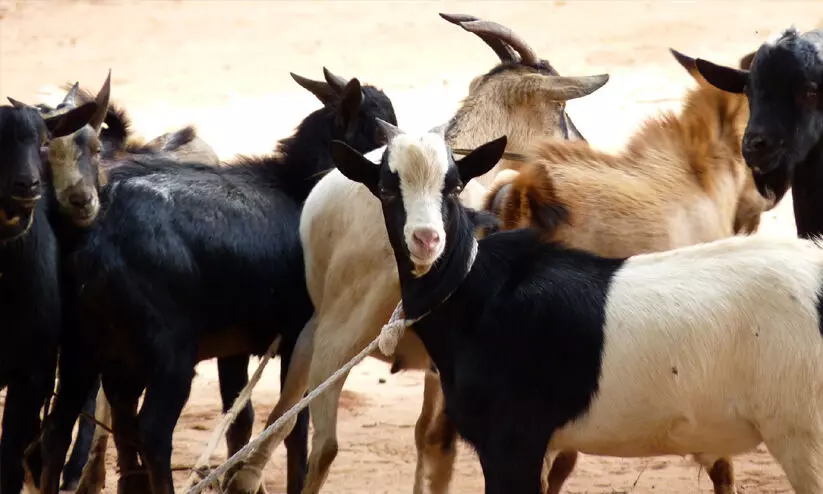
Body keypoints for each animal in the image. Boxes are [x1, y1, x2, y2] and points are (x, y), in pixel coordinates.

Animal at [37, 68, 398, 494]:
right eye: (379, 128)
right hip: (168, 353)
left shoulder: (234, 347)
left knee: (63, 426)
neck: (297, 188)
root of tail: (96, 235)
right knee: (152, 430)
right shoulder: (300, 335)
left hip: (85, 345)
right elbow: (293, 422)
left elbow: (240, 419)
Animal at [222, 13, 608, 494]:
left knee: (281, 422)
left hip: (316, 329)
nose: (584, 149)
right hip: (339, 332)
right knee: (323, 444)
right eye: (560, 110)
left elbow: (430, 439)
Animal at [332, 120, 823, 494]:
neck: (481, 292)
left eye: (453, 187)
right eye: (385, 189)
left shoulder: (513, 441)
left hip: (803, 435)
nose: (426, 239)